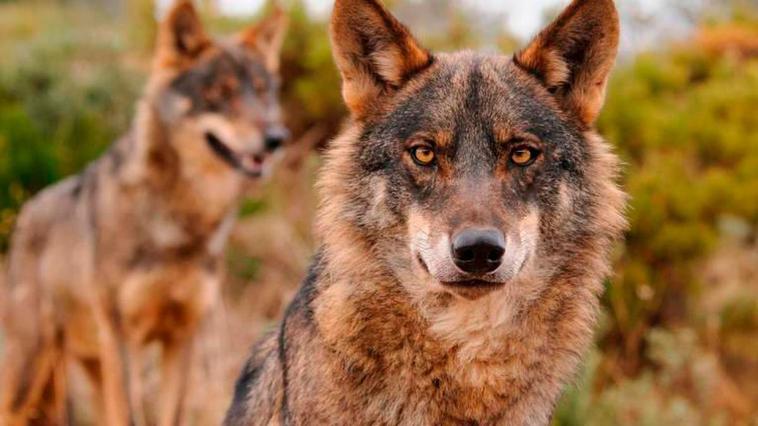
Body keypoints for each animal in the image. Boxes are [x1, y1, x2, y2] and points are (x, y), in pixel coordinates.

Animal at [0, 1, 290, 424]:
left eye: (263, 91)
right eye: (219, 92)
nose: (276, 139)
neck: (180, 223)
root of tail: (26, 211)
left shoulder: (182, 336)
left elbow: (173, 414)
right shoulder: (124, 338)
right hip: (32, 373)